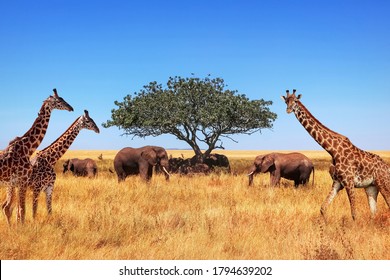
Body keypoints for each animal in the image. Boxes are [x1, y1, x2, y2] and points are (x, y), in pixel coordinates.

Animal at [1, 88, 73, 224]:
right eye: (58, 100)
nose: (71, 108)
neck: (27, 148)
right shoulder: (22, 181)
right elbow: (23, 210)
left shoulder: (22, 183)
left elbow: (22, 210)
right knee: (7, 207)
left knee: (7, 207)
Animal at [282, 89, 390, 221]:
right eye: (286, 101)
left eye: (296, 101)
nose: (288, 110)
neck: (333, 150)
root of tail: (387, 168)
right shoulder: (337, 183)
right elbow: (323, 208)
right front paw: (325, 224)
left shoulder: (349, 182)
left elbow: (354, 213)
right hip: (371, 187)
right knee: (374, 212)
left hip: (383, 183)